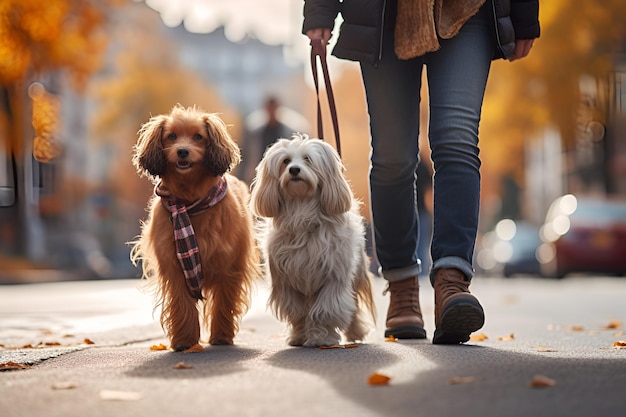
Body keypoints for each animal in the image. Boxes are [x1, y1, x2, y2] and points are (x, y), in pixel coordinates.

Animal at [130, 105, 260, 352]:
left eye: (198, 137)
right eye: (171, 136)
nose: (182, 151)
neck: (190, 202)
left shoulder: (229, 267)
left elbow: (224, 303)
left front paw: (221, 336)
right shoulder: (176, 267)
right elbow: (182, 305)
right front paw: (184, 341)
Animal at [250, 133, 376, 344]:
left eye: (307, 159)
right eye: (285, 161)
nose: (294, 170)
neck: (302, 208)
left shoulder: (333, 279)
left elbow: (325, 310)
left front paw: (321, 338)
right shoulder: (287, 283)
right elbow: (298, 312)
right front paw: (299, 336)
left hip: (355, 273)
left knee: (354, 304)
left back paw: (355, 332)